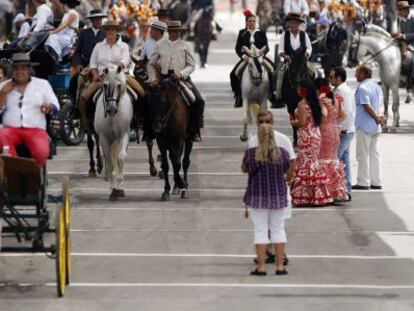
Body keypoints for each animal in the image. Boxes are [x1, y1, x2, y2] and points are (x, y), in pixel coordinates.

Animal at [94, 67, 134, 201]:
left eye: (119, 85)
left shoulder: (123, 135)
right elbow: (110, 163)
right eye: (105, 85)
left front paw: (119, 188)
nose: (111, 109)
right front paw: (113, 190)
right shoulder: (104, 138)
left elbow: (120, 158)